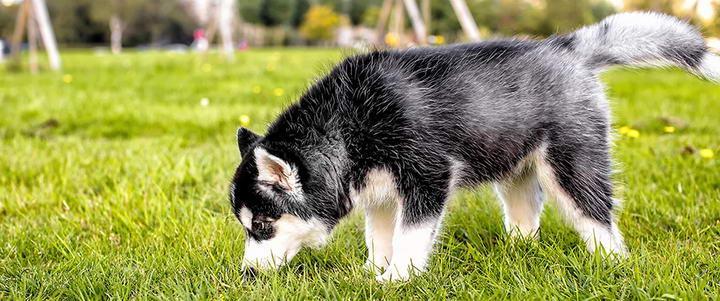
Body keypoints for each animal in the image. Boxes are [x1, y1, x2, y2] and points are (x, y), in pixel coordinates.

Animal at [231, 12, 720, 282]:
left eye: (264, 225)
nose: (247, 274)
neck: (350, 123)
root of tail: (565, 46)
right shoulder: (380, 192)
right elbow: (380, 235)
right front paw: (374, 270)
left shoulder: (428, 176)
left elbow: (411, 236)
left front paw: (397, 278)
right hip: (517, 167)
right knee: (526, 213)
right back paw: (519, 251)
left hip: (571, 162)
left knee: (597, 217)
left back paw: (610, 262)